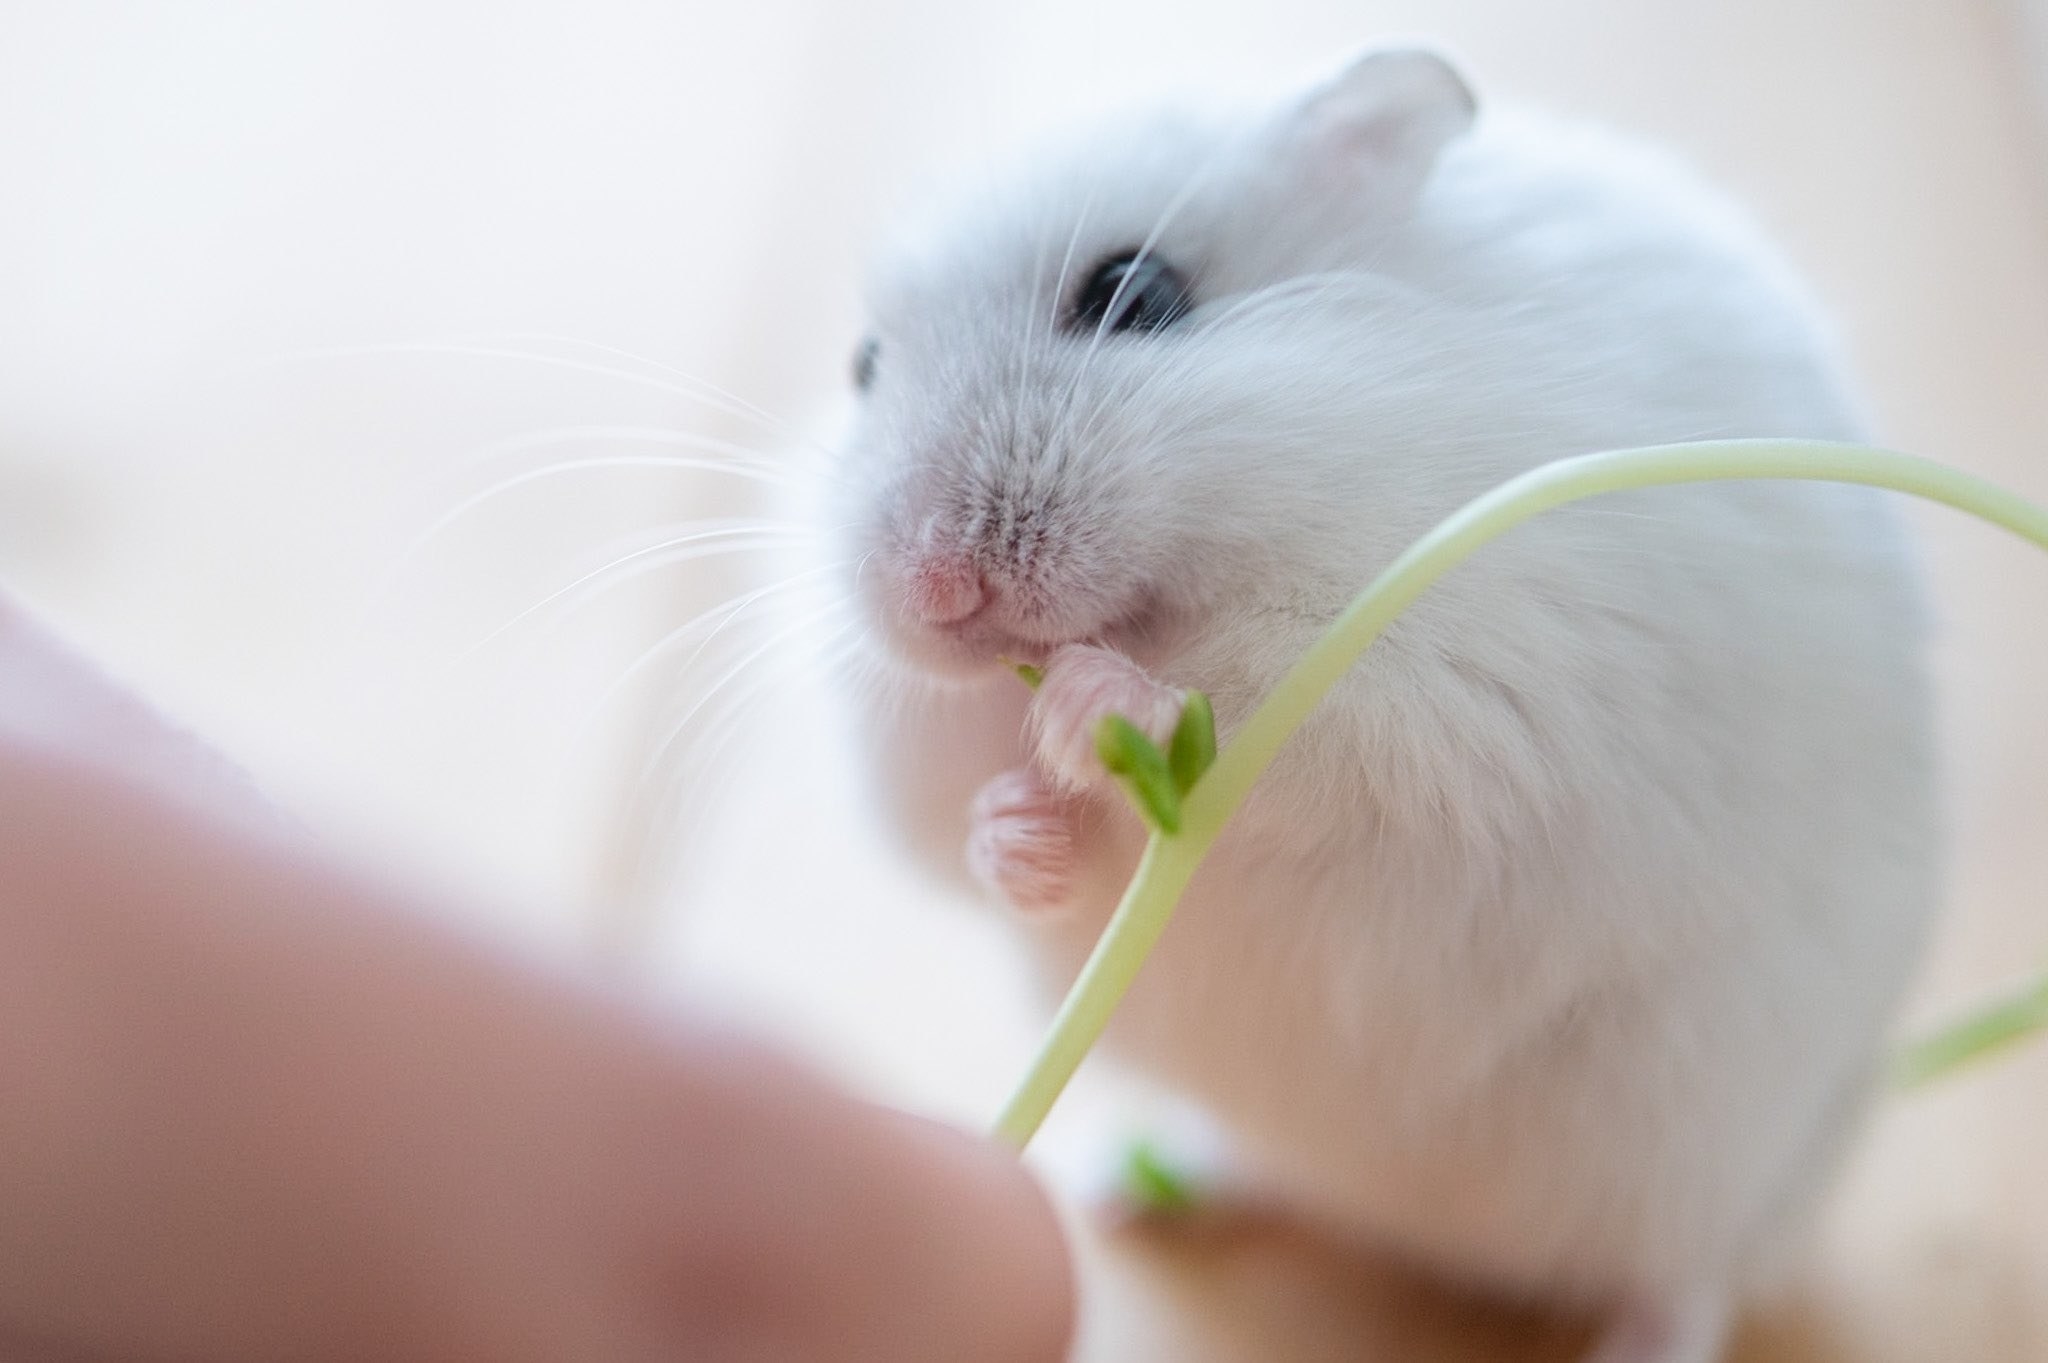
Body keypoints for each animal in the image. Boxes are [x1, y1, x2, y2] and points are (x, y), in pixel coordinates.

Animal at [819, 47, 1933, 1358]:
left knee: (1690, 1281)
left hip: (1712, 1147)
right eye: (862, 367)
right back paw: (1124, 1190)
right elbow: (960, 839)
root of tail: (1444, 1242)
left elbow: (1281, 723)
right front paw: (1020, 831)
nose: (935, 592)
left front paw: (1089, 705)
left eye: (1134, 291)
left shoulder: (1463, 681)